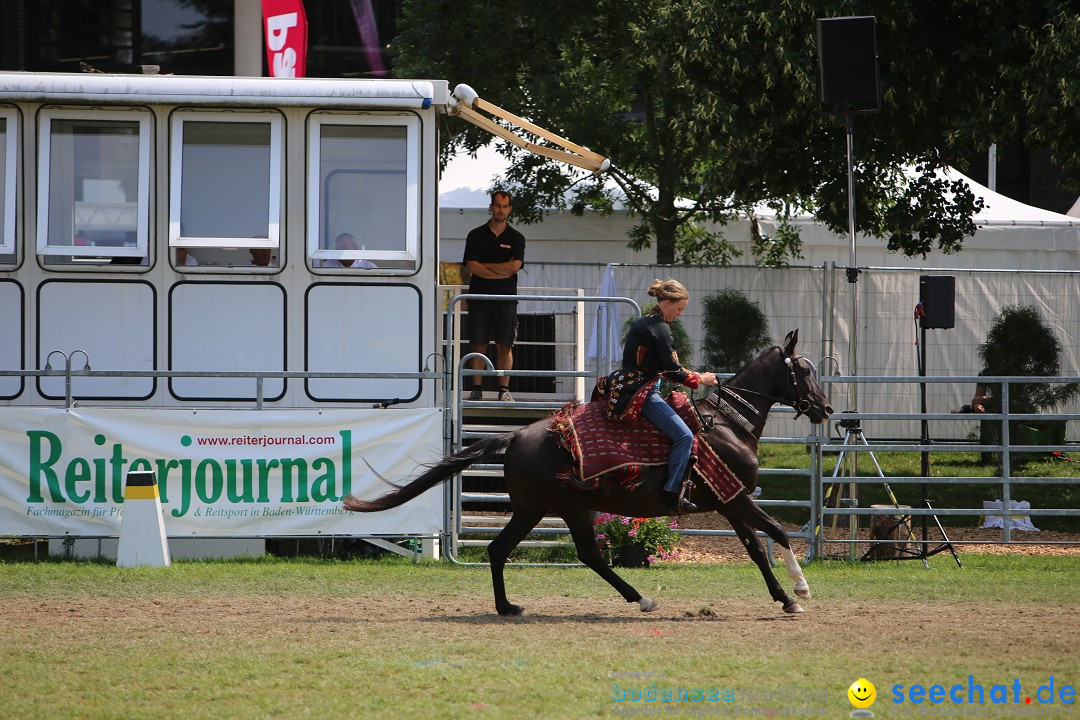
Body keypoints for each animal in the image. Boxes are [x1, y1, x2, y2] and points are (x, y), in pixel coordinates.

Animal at [341, 330, 829, 617]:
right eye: (804, 370)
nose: (824, 409)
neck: (727, 423)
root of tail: (515, 437)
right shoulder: (738, 499)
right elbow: (777, 533)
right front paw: (802, 589)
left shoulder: (729, 502)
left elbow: (756, 549)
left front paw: (785, 598)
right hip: (571, 506)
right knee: (590, 554)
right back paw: (642, 598)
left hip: (531, 509)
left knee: (499, 550)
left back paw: (508, 607)